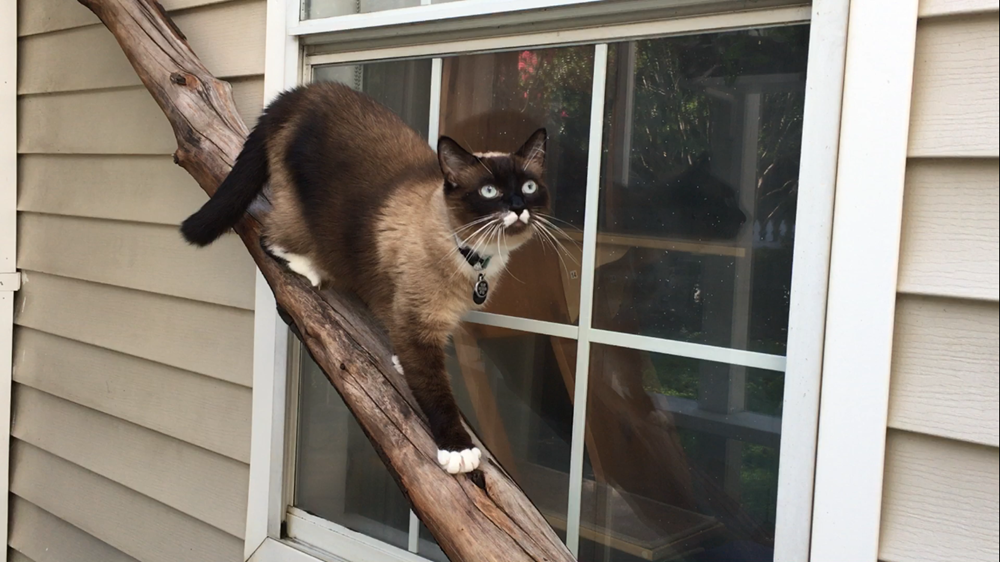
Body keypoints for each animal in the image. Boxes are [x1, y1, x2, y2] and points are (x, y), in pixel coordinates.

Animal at [184, 80, 552, 472]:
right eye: (489, 191)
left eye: (529, 187)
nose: (518, 208)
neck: (475, 258)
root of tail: (303, 91)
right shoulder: (418, 326)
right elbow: (436, 390)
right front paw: (457, 450)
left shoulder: (422, 323)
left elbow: (415, 358)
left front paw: (399, 363)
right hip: (302, 215)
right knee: (268, 236)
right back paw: (311, 269)